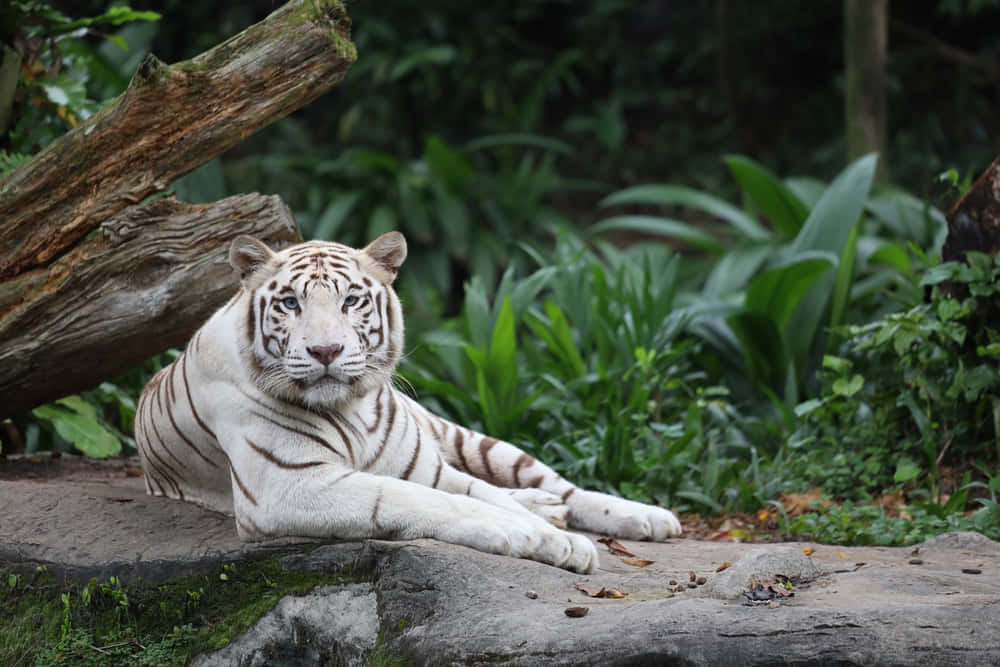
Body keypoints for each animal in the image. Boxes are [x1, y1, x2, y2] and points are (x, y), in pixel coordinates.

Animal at [134, 232, 681, 573]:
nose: (326, 351)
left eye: (350, 301)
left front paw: (557, 536)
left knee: (555, 485)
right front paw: (537, 538)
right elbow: (429, 501)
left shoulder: (427, 468)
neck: (351, 408)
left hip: (469, 439)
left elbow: (481, 495)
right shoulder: (287, 484)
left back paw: (645, 517)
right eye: (291, 304)